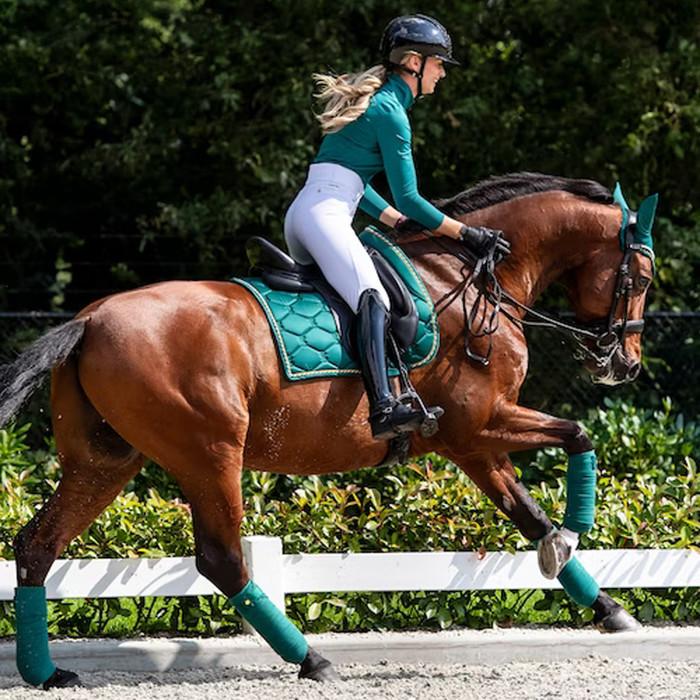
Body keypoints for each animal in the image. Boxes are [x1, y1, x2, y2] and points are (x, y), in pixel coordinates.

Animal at [0, 171, 656, 688]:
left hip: (106, 462)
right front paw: (573, 534)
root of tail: (89, 319)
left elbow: (528, 513)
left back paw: (46, 672)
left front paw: (607, 606)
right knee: (223, 561)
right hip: (210, 455)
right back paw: (311, 659)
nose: (624, 364)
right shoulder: (478, 427)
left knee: (37, 545)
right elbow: (577, 434)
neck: (464, 278)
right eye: (643, 278)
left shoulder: (473, 446)